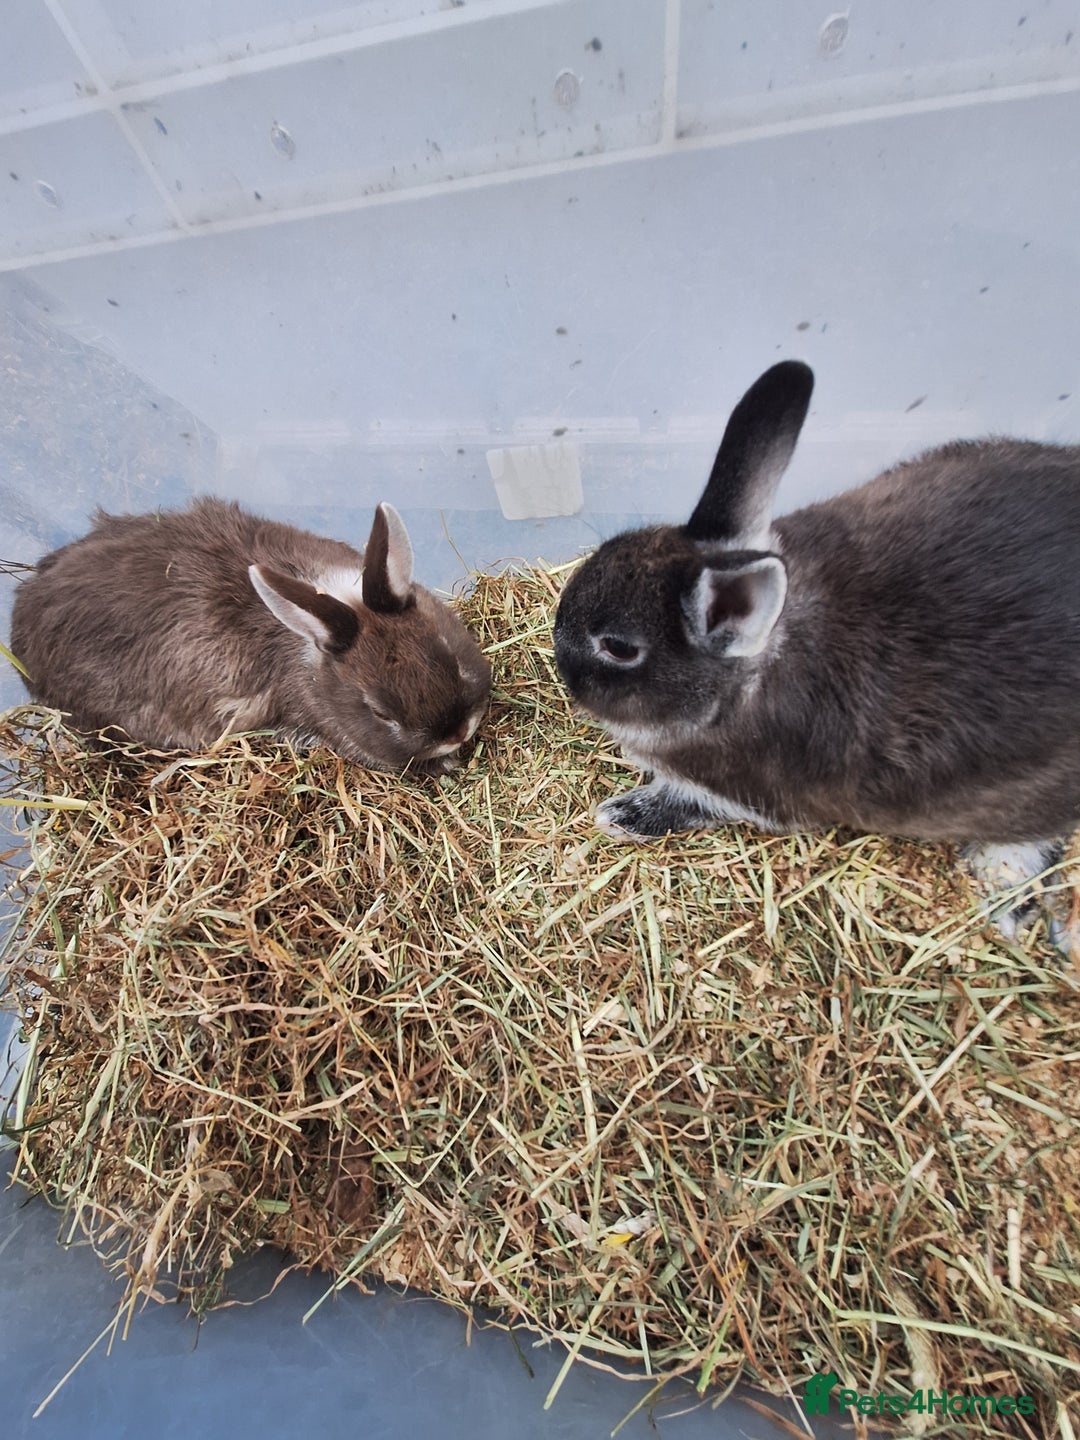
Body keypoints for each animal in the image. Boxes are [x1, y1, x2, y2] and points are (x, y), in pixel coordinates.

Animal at [553, 361, 1080, 949]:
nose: (557, 649)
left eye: (619, 648)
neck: (747, 681)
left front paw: (623, 815)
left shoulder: (754, 797)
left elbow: (689, 801)